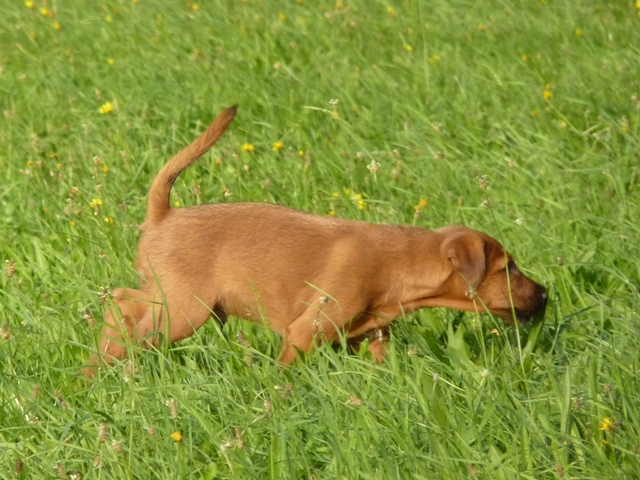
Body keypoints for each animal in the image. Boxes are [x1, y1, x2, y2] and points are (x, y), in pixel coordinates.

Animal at [87, 105, 547, 372]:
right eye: (509, 268)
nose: (546, 294)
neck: (400, 265)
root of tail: (163, 215)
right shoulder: (303, 331)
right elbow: (286, 375)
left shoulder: (370, 335)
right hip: (185, 307)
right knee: (123, 304)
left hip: (175, 301)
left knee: (122, 302)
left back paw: (99, 364)